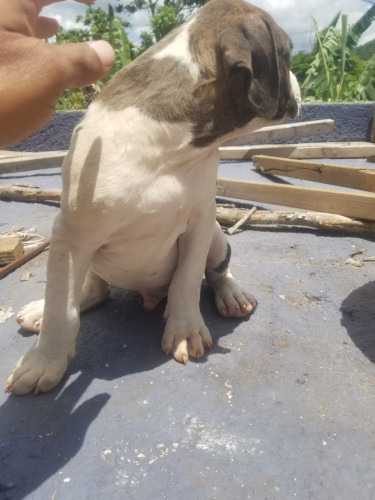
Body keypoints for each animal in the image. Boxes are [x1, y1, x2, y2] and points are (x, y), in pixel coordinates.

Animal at [5, 0, 302, 394]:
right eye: (288, 54)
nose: (298, 82)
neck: (173, 144)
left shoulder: (199, 223)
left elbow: (187, 280)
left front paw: (184, 329)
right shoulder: (72, 236)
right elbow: (61, 309)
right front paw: (44, 361)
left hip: (216, 238)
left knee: (217, 270)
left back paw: (231, 294)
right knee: (91, 290)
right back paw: (43, 309)